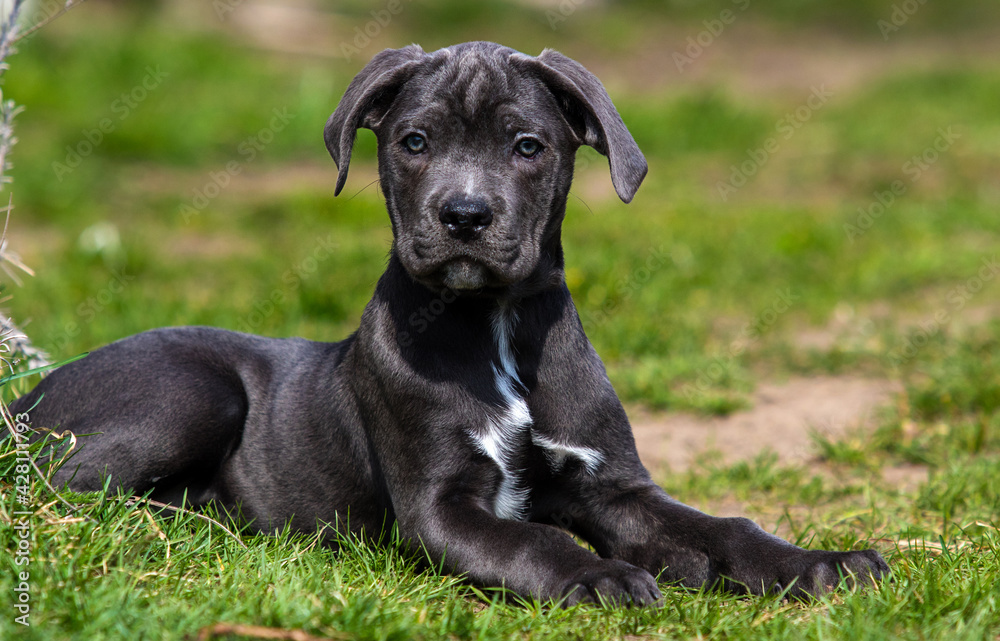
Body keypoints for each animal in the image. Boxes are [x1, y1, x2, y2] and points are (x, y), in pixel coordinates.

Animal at [13, 42, 888, 606]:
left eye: (528, 146)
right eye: (414, 141)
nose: (464, 215)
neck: (493, 322)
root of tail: (24, 395)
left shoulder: (613, 485)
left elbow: (723, 524)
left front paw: (820, 562)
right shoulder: (441, 506)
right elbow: (533, 539)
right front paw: (597, 575)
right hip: (191, 390)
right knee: (54, 496)